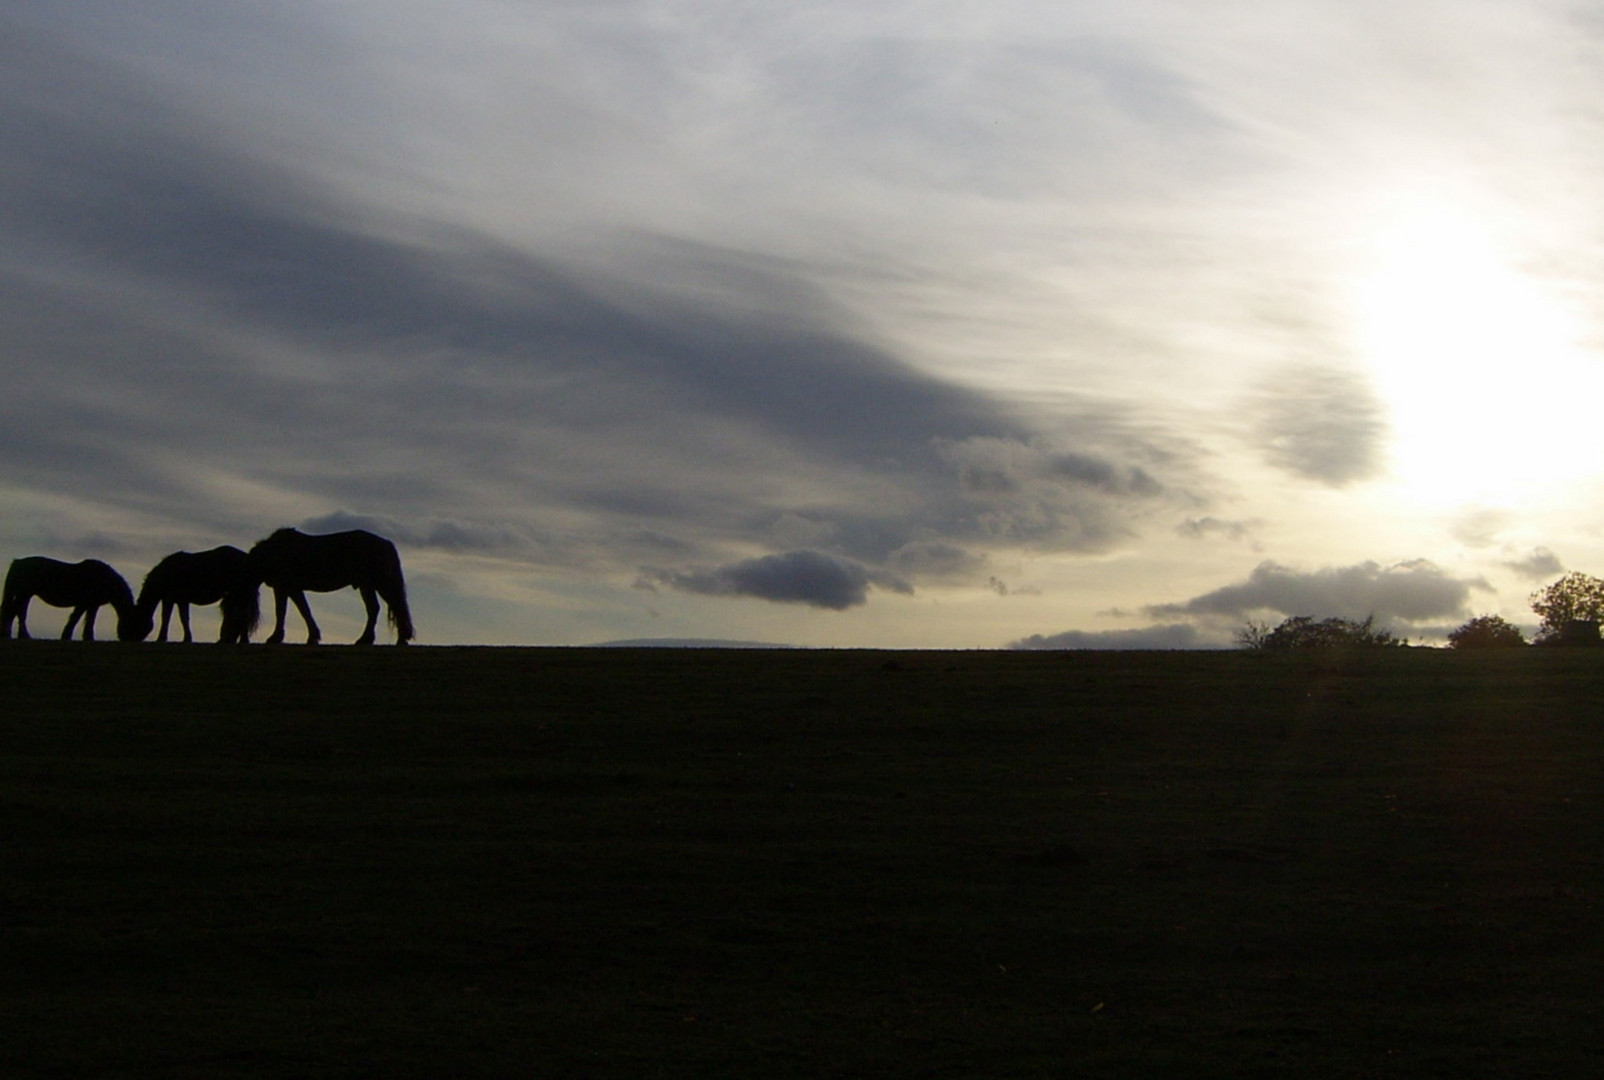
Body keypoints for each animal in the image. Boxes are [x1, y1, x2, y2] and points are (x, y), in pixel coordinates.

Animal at [0, 555, 141, 641]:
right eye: (133, 623)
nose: (131, 639)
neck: (104, 579)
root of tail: (18, 562)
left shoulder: (91, 605)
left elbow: (86, 620)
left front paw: (84, 637)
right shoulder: (85, 604)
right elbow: (77, 618)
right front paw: (70, 636)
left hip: (25, 594)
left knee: (16, 612)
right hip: (24, 593)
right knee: (16, 612)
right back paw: (19, 635)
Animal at [240, 529, 413, 645]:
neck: (275, 552)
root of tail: (386, 544)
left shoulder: (283, 587)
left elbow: (282, 611)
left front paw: (275, 637)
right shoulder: (293, 589)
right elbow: (304, 610)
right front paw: (313, 636)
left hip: (372, 584)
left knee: (382, 608)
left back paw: (369, 639)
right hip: (375, 585)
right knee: (392, 607)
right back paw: (397, 638)